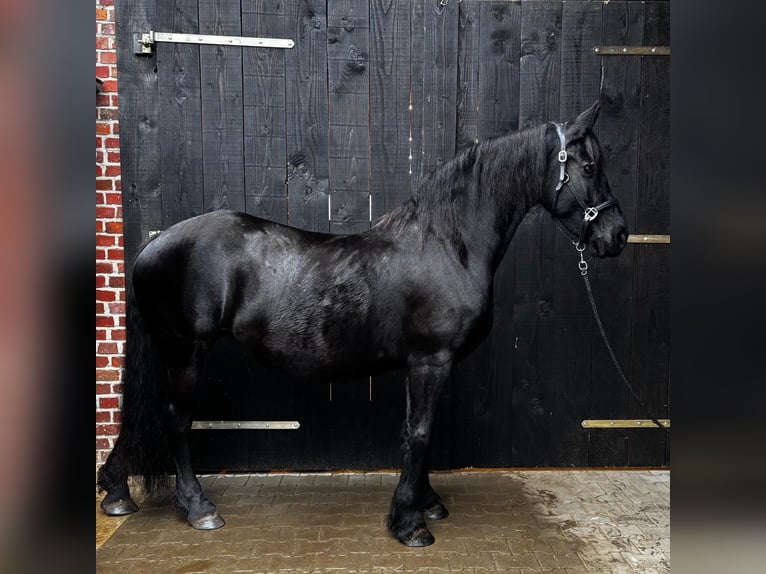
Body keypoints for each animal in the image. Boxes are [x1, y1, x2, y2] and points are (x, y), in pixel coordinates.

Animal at [97, 102, 627, 547]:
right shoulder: (430, 360)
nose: (617, 235)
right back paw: (197, 507)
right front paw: (409, 524)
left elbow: (419, 432)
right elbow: (420, 433)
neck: (447, 243)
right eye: (589, 167)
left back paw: (117, 491)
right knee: (175, 419)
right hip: (185, 352)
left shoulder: (427, 364)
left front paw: (426, 504)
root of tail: (154, 244)